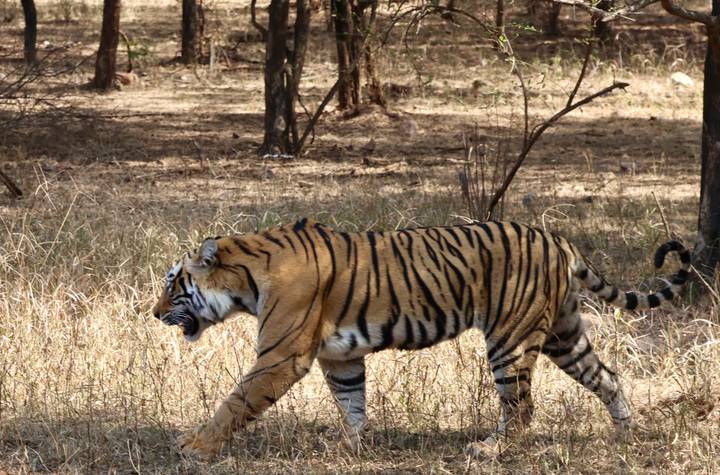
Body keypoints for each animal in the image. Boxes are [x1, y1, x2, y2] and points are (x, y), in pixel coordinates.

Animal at [152, 218, 690, 459]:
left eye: (173, 283)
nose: (153, 314)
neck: (245, 279)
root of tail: (557, 239)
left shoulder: (280, 356)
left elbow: (235, 402)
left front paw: (194, 445)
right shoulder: (339, 357)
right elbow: (351, 402)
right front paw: (349, 446)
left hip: (511, 339)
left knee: (521, 407)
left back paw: (488, 450)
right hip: (564, 334)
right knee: (607, 376)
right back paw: (625, 432)